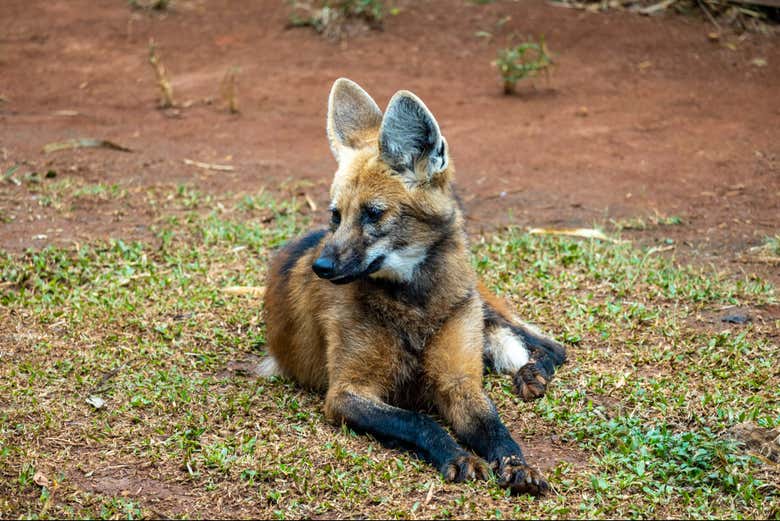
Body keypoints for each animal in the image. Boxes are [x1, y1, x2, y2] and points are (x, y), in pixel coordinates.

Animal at [262, 78, 566, 495]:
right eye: (336, 216)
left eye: (373, 214)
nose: (321, 267)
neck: (414, 304)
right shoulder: (345, 393)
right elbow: (418, 420)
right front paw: (459, 457)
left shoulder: (459, 381)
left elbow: (494, 426)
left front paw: (517, 464)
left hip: (474, 303)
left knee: (552, 347)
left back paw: (531, 374)